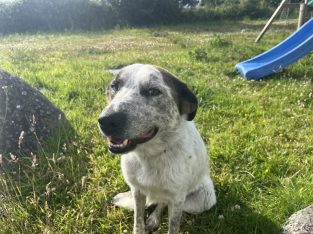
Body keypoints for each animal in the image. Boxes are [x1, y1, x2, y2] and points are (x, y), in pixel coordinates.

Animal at [97, 64, 214, 234]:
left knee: (164, 201)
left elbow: (173, 226)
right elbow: (138, 222)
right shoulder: (137, 191)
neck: (149, 156)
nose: (106, 121)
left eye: (153, 91)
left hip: (204, 199)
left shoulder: (177, 199)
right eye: (114, 86)